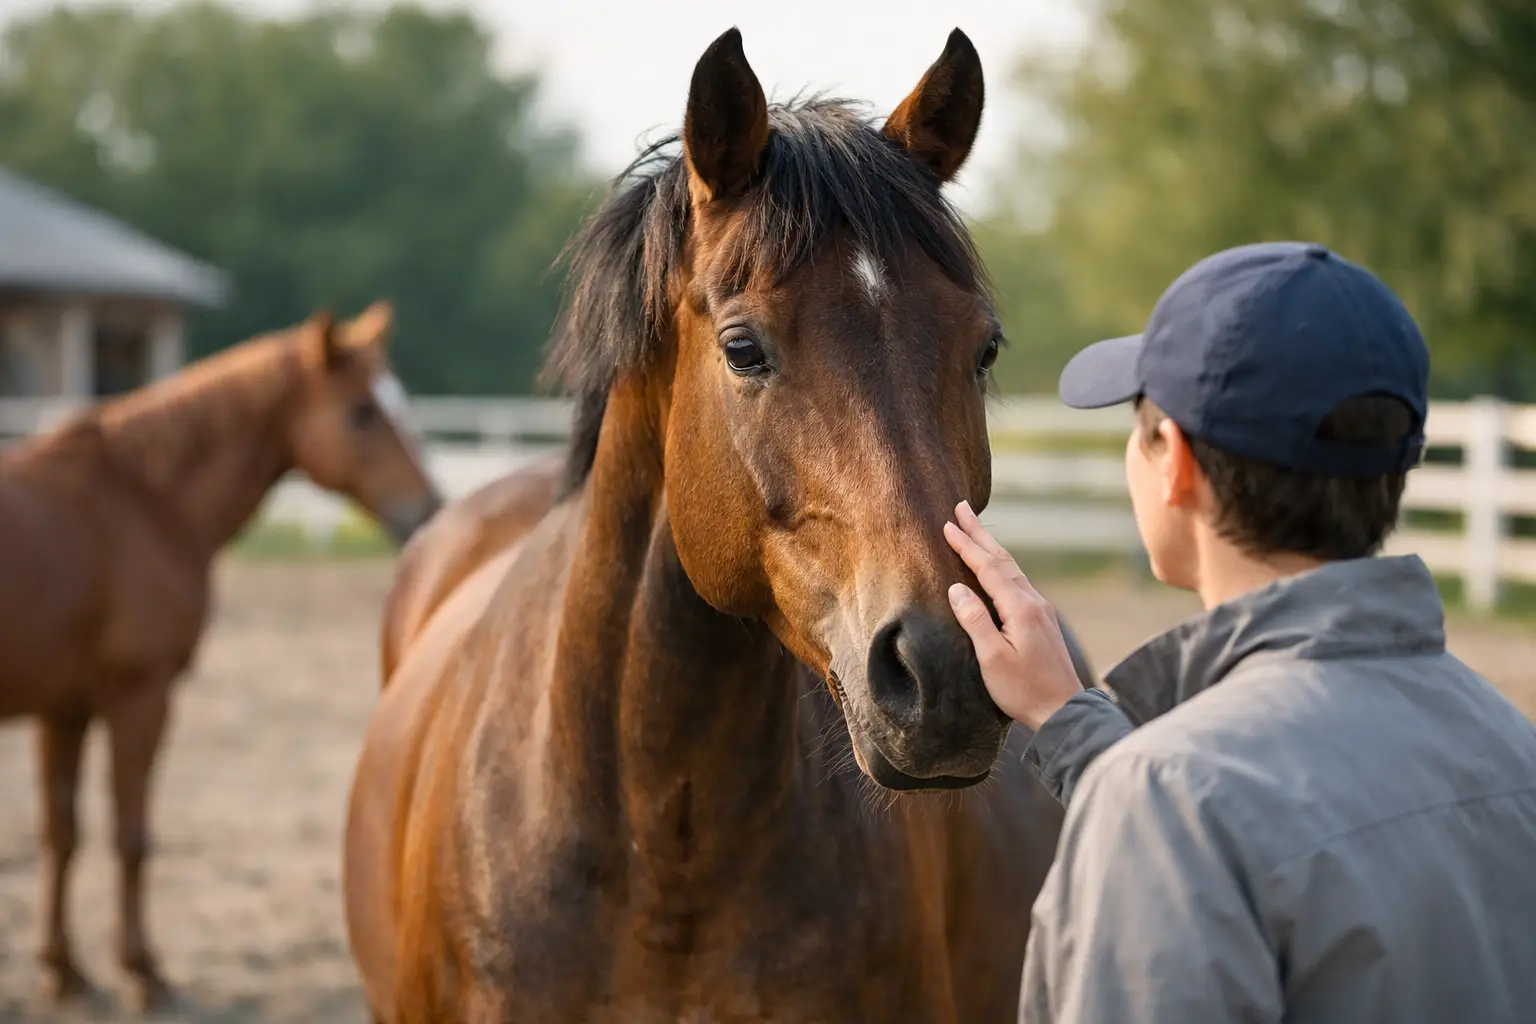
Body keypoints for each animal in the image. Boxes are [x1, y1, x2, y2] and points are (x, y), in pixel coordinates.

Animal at [0, 302, 441, 1011]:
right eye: (362, 413)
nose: (428, 509)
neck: (142, 503)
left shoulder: (63, 709)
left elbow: (60, 835)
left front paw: (63, 973)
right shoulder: (139, 697)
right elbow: (131, 837)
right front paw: (143, 973)